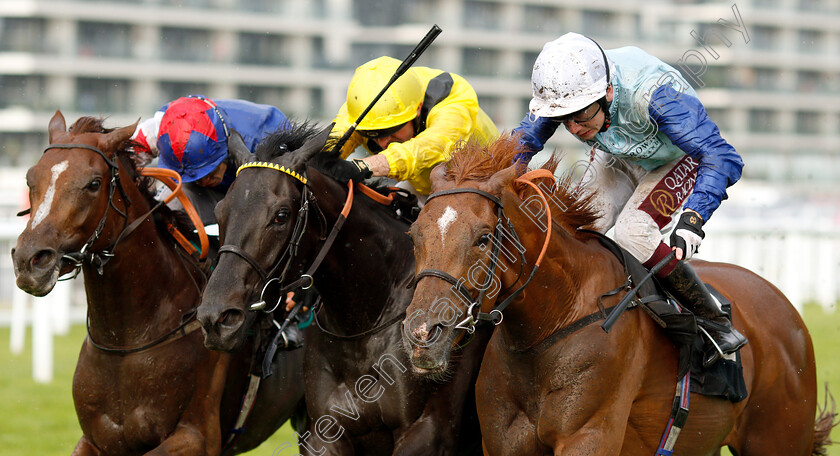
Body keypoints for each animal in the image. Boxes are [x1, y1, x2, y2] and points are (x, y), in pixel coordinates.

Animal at [10, 111, 306, 456]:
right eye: (30, 179)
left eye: (94, 184)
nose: (30, 260)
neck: (127, 342)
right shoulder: (95, 440)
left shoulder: (197, 436)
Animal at [197, 123, 488, 454]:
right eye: (220, 211)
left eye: (281, 215)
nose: (216, 318)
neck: (364, 323)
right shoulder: (323, 433)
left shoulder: (427, 431)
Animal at [404, 135, 836, 456]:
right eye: (415, 234)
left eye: (483, 238)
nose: (423, 333)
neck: (553, 322)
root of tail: (784, 306)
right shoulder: (504, 442)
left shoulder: (588, 436)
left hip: (778, 436)